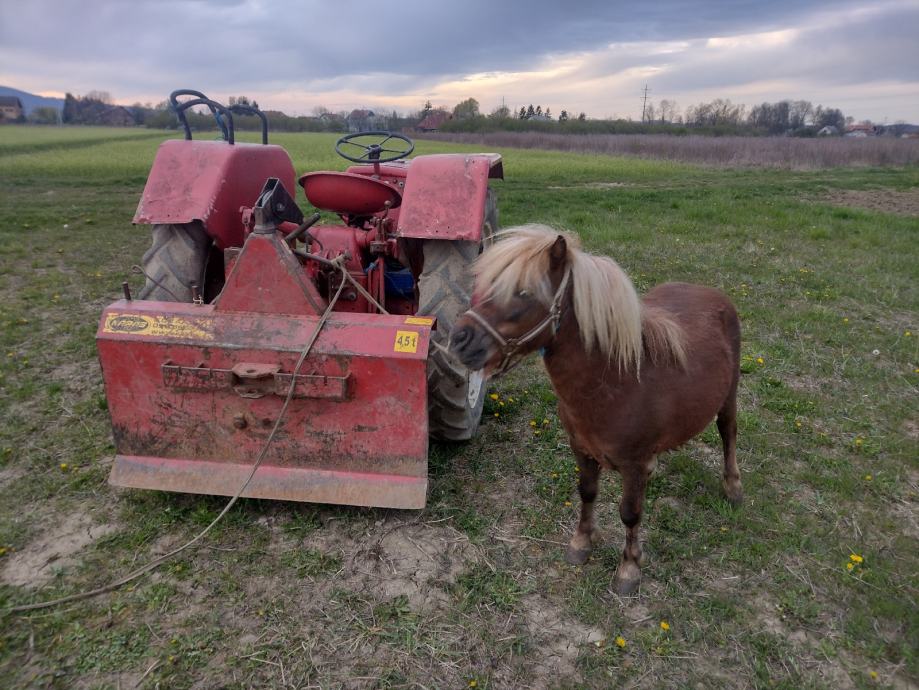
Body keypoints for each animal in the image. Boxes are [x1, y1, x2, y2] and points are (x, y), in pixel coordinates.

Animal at [450, 226, 744, 592]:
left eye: (524, 293)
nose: (459, 338)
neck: (615, 381)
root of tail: (713, 294)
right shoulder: (582, 449)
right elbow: (587, 493)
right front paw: (581, 544)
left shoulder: (632, 465)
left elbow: (630, 513)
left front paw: (629, 568)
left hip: (729, 397)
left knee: (728, 432)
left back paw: (733, 487)